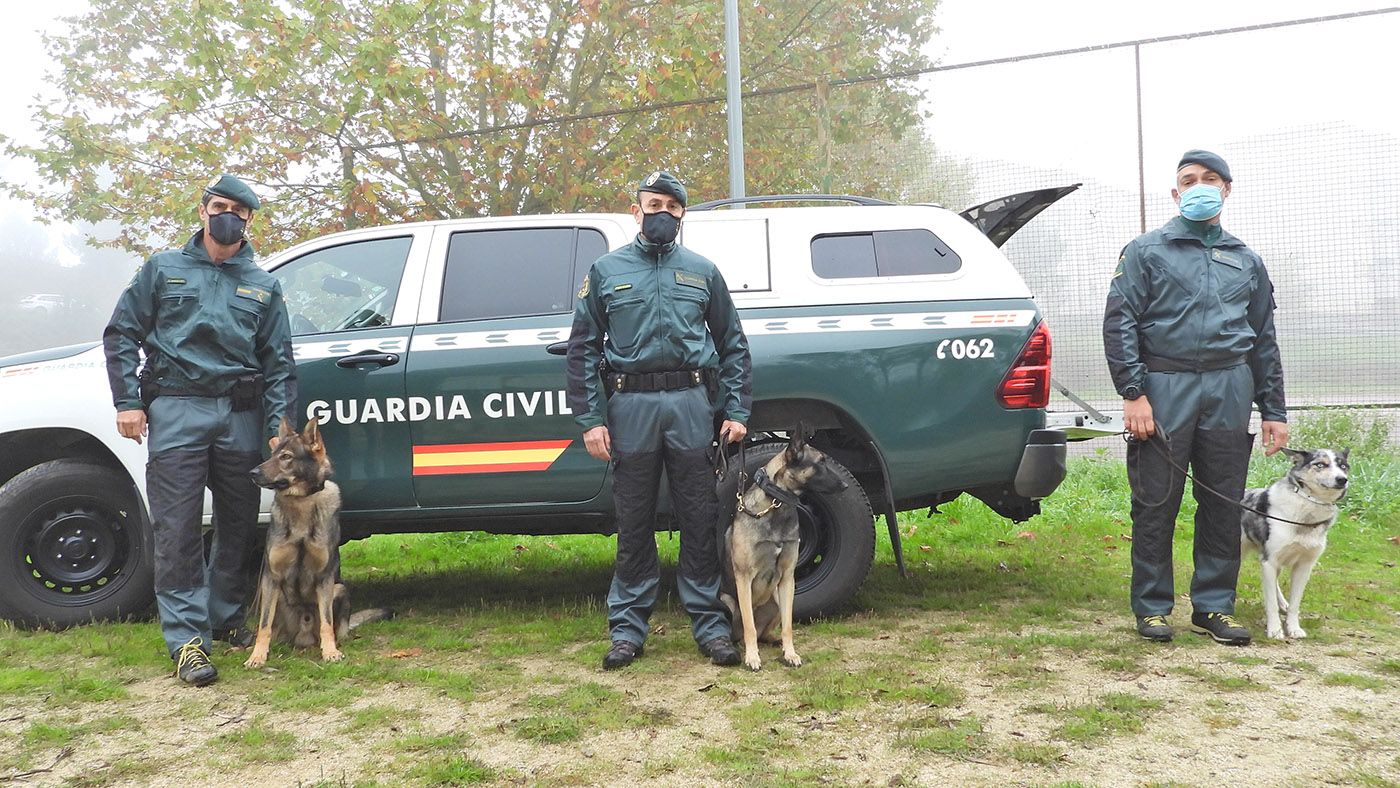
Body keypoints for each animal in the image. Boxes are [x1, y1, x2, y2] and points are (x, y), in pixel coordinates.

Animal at [243, 419, 350, 666]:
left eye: (286, 457)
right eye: (272, 454)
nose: (252, 472)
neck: (301, 501)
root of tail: (303, 635)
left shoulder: (325, 578)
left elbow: (327, 622)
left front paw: (330, 651)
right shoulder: (271, 577)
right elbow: (264, 625)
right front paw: (257, 655)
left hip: (339, 588)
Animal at [722, 431, 851, 671]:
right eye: (820, 461)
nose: (846, 485)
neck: (775, 503)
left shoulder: (788, 578)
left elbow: (788, 625)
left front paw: (790, 653)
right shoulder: (744, 578)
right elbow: (749, 625)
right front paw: (752, 657)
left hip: (776, 596)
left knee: (766, 632)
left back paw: (776, 641)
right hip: (728, 601)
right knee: (745, 630)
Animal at [1243, 450, 1349, 641]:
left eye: (1343, 466)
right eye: (1320, 464)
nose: (1342, 479)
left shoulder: (1304, 567)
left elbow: (1295, 604)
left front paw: (1293, 628)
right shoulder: (1270, 561)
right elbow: (1270, 604)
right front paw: (1275, 630)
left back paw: (1283, 603)